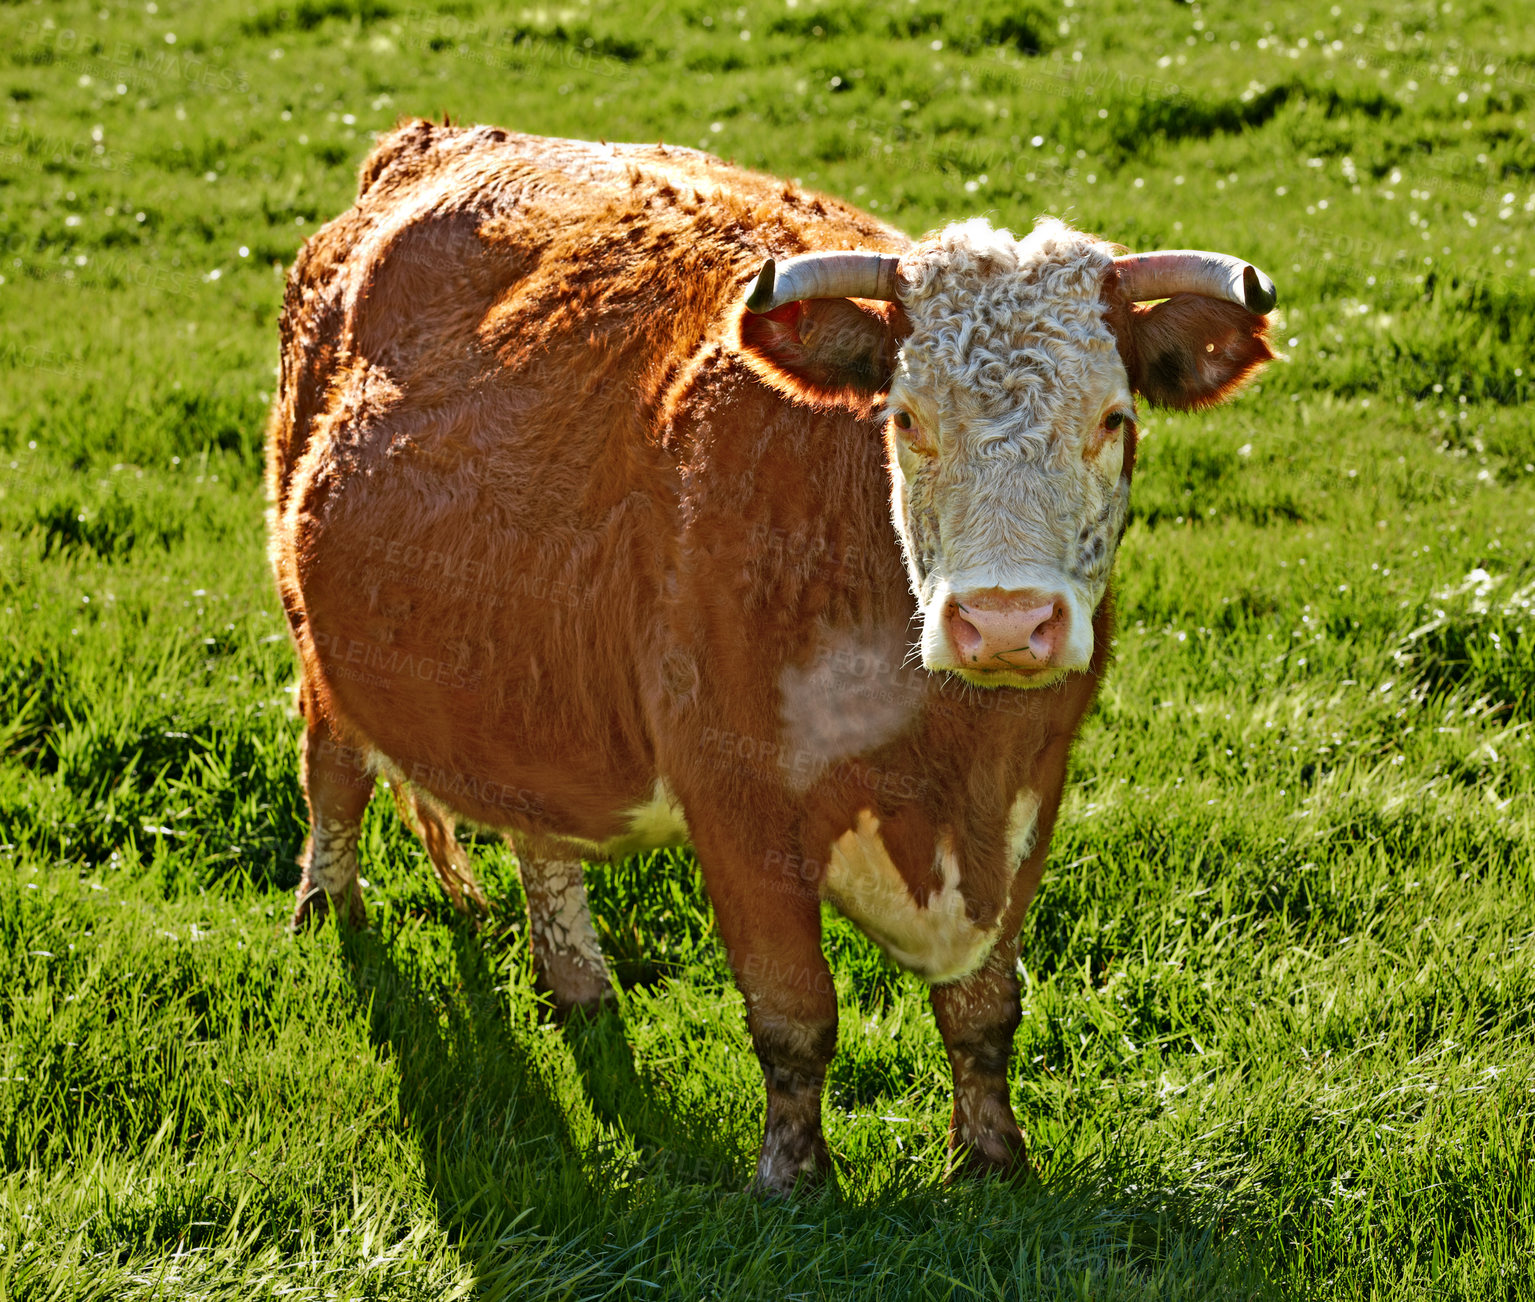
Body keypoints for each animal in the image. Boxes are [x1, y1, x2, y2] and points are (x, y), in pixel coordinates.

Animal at [267, 116, 1270, 1197]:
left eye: (1112, 421)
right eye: (904, 420)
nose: (1004, 623)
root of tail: (437, 139)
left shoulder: (1027, 791)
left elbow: (982, 1008)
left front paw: (992, 1156)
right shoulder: (733, 797)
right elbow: (794, 1013)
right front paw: (792, 1176)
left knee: (541, 836)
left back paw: (578, 983)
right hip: (314, 634)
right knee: (331, 768)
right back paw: (328, 907)